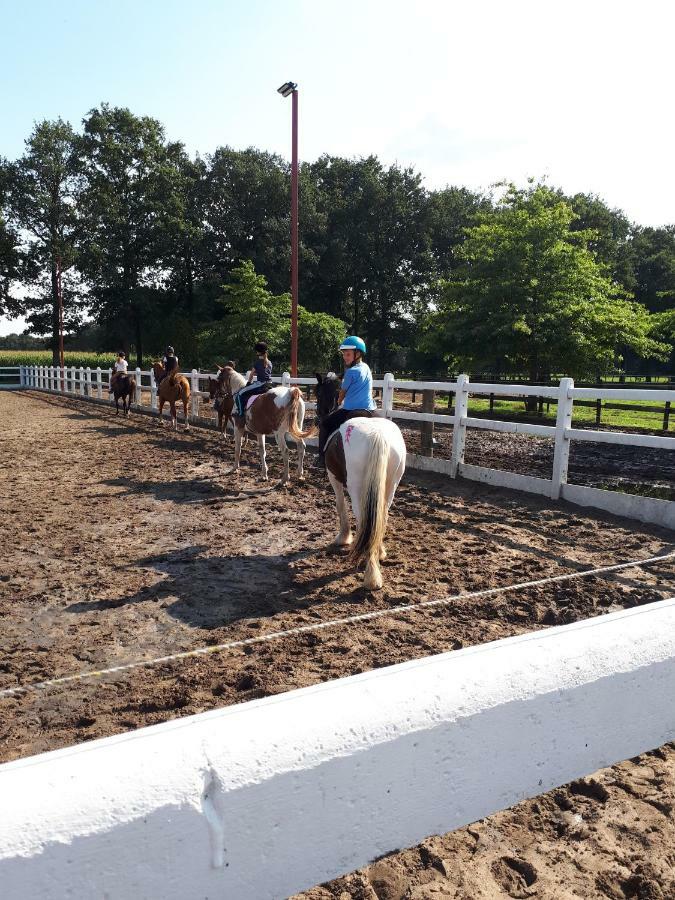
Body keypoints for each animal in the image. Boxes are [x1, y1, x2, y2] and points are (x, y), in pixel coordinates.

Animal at [316, 372, 406, 592]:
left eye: (318, 392)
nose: (319, 416)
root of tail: (377, 435)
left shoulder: (334, 477)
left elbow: (340, 505)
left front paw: (343, 537)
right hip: (390, 486)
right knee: (381, 515)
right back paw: (378, 553)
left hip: (357, 488)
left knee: (364, 516)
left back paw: (371, 574)